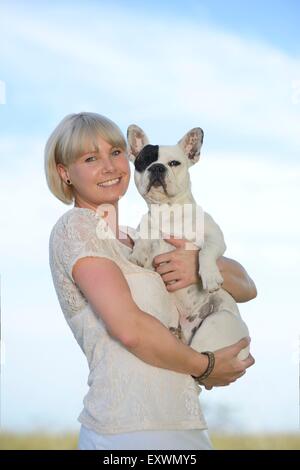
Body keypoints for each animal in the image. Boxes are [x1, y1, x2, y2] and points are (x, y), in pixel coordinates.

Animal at [126, 124, 248, 360]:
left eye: (174, 163)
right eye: (144, 161)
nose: (157, 168)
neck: (168, 212)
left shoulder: (215, 236)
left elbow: (205, 251)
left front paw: (210, 276)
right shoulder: (149, 230)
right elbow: (144, 238)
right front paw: (138, 253)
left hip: (216, 322)